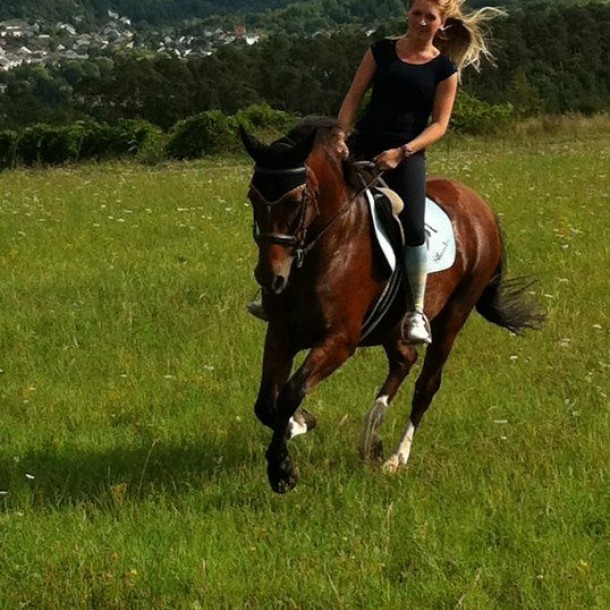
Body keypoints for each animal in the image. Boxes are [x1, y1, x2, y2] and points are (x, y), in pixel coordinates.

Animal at [240, 116, 540, 492]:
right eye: (252, 197)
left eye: (294, 200)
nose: (270, 278)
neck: (328, 246)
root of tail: (480, 206)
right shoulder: (282, 332)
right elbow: (267, 403)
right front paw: (300, 423)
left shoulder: (339, 341)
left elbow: (291, 393)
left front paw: (282, 470)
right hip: (389, 326)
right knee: (404, 359)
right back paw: (372, 432)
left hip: (453, 315)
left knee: (426, 384)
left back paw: (397, 458)